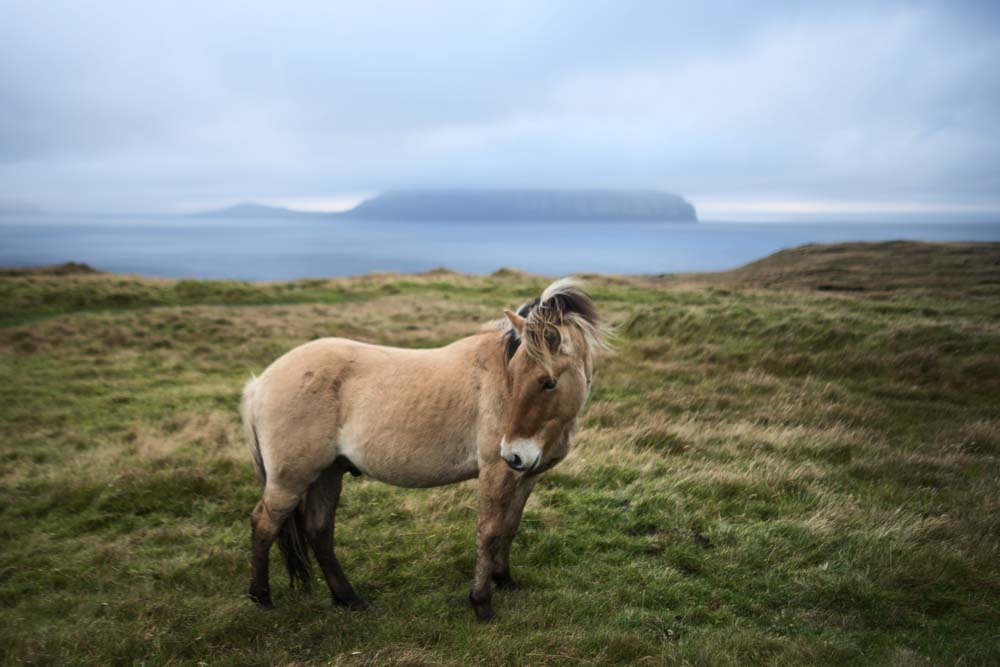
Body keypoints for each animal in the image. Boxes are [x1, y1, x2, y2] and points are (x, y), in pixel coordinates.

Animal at [241, 278, 608, 620]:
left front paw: (504, 580)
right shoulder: (497, 471)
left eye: (548, 382)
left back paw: (349, 598)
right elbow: (489, 532)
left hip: (328, 473)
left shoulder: (525, 476)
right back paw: (261, 598)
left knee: (319, 531)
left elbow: (509, 527)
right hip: (290, 480)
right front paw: (481, 603)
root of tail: (260, 383)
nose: (513, 453)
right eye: (514, 377)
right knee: (264, 524)